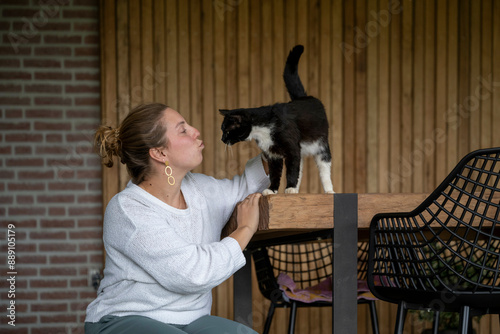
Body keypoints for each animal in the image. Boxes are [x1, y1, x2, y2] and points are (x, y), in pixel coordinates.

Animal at [221, 45, 334, 194]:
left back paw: (328, 190)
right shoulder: (272, 153)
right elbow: (275, 173)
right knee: (300, 168)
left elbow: (291, 171)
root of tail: (304, 97)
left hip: (321, 144)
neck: (262, 129)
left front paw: (290, 187)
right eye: (222, 131)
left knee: (323, 167)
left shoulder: (292, 148)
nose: (222, 139)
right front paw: (272, 189)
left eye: (227, 131)